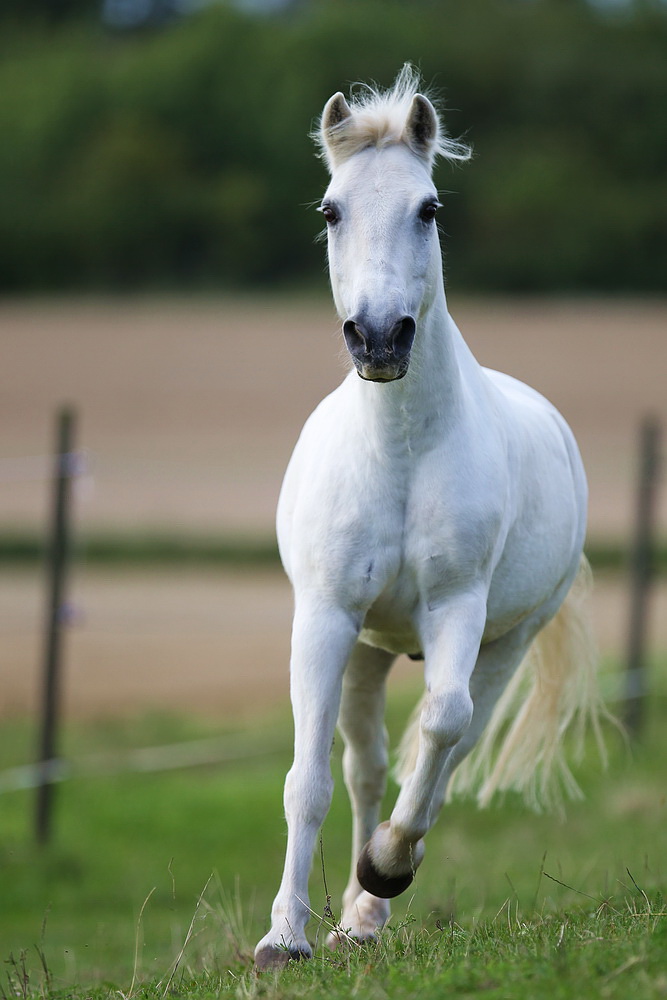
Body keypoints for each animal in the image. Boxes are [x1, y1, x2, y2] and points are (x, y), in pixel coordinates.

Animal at [253, 66, 604, 972]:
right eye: (330, 210)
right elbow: (306, 779)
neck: (403, 453)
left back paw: (371, 898)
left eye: (429, 208)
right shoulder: (325, 618)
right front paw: (281, 940)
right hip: (368, 651)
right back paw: (345, 922)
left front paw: (384, 867)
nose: (379, 337)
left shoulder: (458, 609)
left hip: (504, 645)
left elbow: (442, 727)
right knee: (366, 768)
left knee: (445, 751)